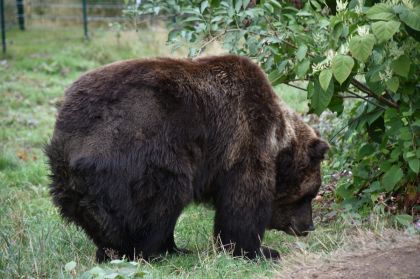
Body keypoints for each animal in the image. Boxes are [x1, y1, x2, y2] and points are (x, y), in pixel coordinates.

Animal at [45, 55, 328, 262]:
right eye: (309, 194)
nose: (308, 226)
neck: (279, 140)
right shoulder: (245, 142)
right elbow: (244, 203)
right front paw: (261, 251)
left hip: (69, 181)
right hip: (137, 155)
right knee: (163, 198)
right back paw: (150, 252)